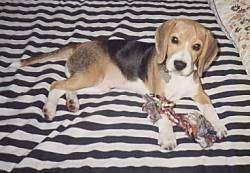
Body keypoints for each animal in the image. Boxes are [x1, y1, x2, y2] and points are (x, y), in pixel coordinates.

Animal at [14, 18, 229, 149]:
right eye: (174, 40)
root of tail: (79, 45)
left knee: (66, 86)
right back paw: (50, 109)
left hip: (96, 84)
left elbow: (210, 109)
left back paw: (72, 101)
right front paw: (168, 137)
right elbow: (165, 117)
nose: (179, 64)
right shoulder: (158, 98)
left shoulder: (200, 93)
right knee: (56, 84)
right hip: (91, 77)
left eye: (196, 47)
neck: (177, 77)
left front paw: (218, 125)